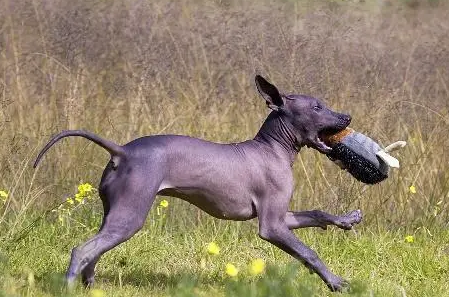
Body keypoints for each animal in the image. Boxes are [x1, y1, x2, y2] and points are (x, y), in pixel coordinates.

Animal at [36, 75, 364, 290]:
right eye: (318, 107)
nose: (347, 117)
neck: (273, 148)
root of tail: (123, 151)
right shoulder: (272, 226)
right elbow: (309, 253)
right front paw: (335, 282)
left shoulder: (283, 217)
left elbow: (318, 214)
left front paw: (346, 219)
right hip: (130, 215)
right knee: (82, 250)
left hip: (114, 213)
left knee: (95, 250)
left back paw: (90, 284)